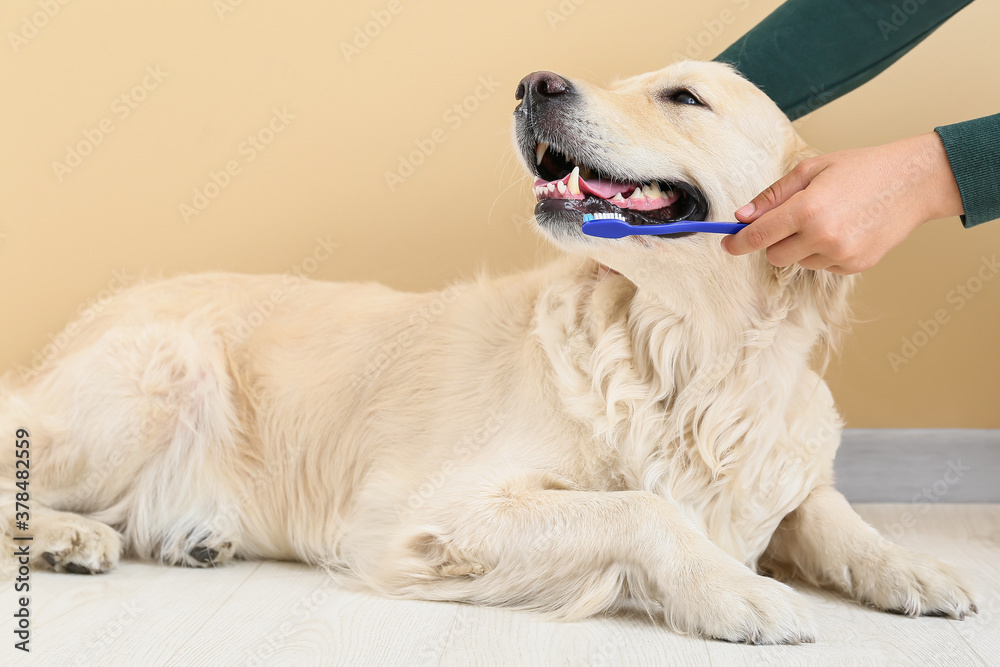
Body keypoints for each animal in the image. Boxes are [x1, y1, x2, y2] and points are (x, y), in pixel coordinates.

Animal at [0, 61, 972, 640]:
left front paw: (916, 567)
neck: (687, 357)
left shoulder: (780, 465)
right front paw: (740, 590)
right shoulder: (438, 510)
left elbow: (833, 514)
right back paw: (72, 537)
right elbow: (643, 509)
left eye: (683, 97)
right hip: (154, 375)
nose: (535, 83)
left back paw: (191, 536)